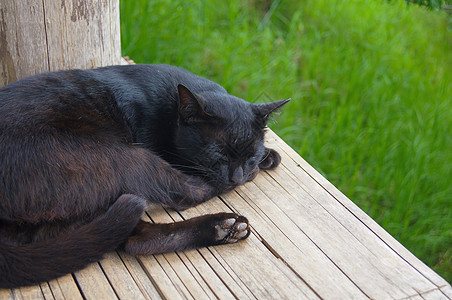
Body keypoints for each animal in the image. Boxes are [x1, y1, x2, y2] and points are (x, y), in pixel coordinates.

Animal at [0, 63, 290, 288]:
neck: (171, 108)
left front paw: (268, 155)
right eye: (218, 153)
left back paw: (224, 229)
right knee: (189, 194)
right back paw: (224, 222)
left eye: (250, 153)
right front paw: (262, 164)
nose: (237, 176)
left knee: (134, 240)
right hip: (126, 156)